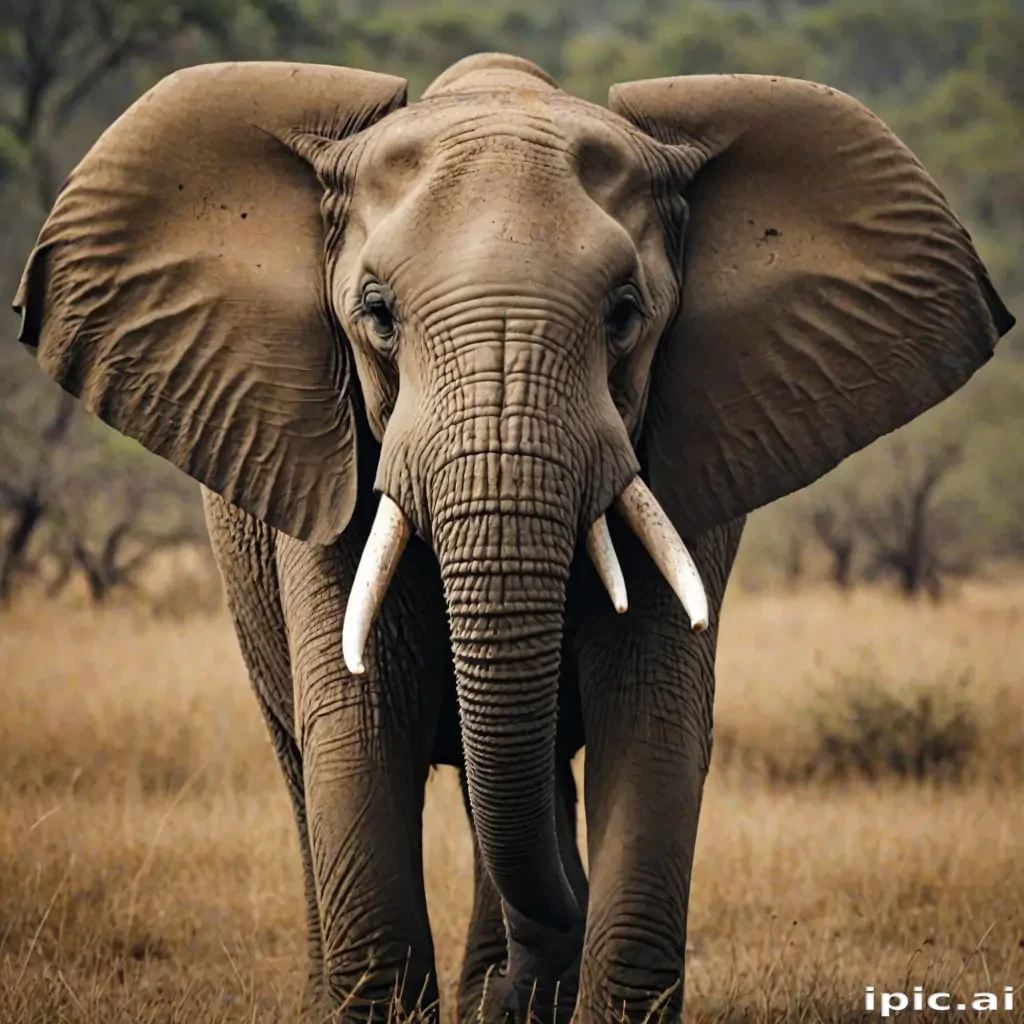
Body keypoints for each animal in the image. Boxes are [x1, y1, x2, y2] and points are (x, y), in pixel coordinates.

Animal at [12, 51, 1013, 1023]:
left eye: (624, 313)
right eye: (377, 314)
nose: (528, 976)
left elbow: (650, 719)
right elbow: (357, 728)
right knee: (310, 766)